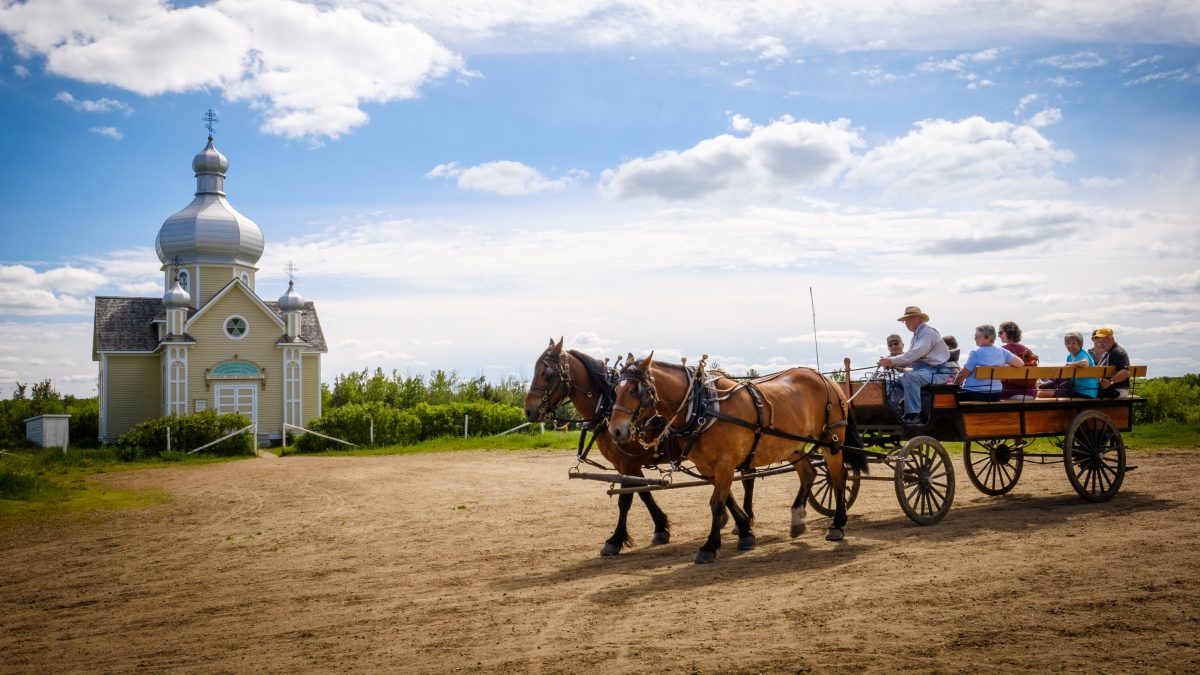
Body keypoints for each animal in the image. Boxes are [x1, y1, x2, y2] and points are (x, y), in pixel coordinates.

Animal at [609, 353, 864, 562]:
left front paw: (709, 547)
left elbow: (717, 503)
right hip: (793, 446)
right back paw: (797, 519)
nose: (616, 431)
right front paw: (744, 532)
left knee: (838, 477)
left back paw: (837, 524)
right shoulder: (708, 467)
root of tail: (828, 380)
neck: (703, 407)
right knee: (809, 474)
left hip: (831, 441)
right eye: (615, 391)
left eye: (634, 390)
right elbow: (725, 498)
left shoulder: (725, 462)